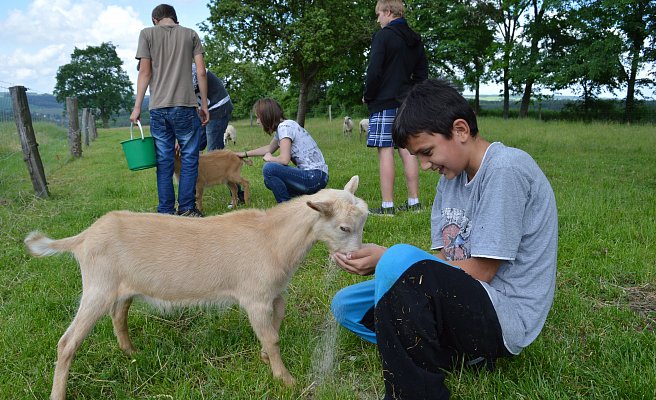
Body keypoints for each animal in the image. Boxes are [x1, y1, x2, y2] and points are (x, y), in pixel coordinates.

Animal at [25, 177, 368, 398]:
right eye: (343, 227)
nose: (354, 258)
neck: (273, 239)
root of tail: (83, 237)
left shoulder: (275, 292)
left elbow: (276, 323)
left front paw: (264, 359)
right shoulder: (255, 296)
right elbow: (272, 336)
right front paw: (285, 379)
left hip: (121, 287)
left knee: (118, 316)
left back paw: (132, 352)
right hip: (97, 286)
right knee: (67, 343)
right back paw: (59, 393)